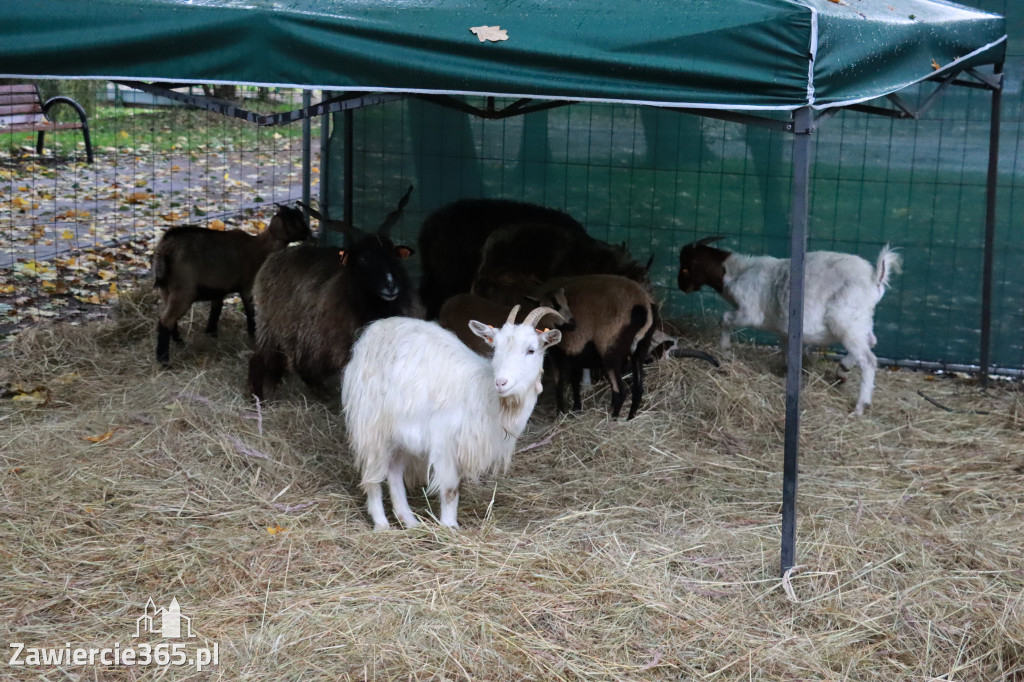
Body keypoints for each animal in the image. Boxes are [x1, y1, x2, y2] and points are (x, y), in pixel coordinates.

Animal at [151, 201, 309, 360]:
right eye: (295, 220)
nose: (309, 234)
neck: (261, 247)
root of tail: (165, 248)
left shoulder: (218, 289)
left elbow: (216, 311)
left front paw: (211, 334)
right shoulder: (247, 287)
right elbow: (250, 310)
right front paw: (252, 335)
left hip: (166, 290)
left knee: (169, 319)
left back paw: (179, 342)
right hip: (183, 290)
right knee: (166, 320)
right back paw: (163, 359)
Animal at [246, 186, 419, 399]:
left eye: (394, 256)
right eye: (363, 258)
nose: (391, 286)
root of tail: (275, 256)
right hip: (270, 327)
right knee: (258, 360)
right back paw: (257, 400)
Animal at [339, 303, 561, 532]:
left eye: (531, 350)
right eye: (496, 348)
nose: (501, 382)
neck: (488, 397)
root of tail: (374, 330)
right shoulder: (444, 442)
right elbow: (450, 489)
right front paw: (450, 526)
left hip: (399, 432)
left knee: (394, 470)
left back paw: (409, 520)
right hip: (371, 424)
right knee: (372, 474)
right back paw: (382, 524)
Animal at [679, 238, 905, 413]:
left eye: (685, 267)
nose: (681, 287)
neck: (737, 272)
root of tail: (875, 278)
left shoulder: (749, 313)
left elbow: (724, 319)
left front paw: (725, 351)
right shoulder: (784, 330)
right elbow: (786, 351)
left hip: (846, 323)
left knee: (869, 359)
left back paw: (859, 407)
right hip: (860, 323)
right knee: (871, 341)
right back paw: (842, 370)